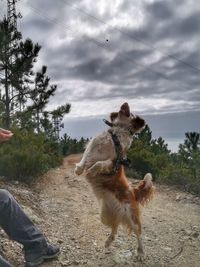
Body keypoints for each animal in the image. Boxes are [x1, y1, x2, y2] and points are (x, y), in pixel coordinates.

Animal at [74, 103, 154, 262]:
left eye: (131, 113)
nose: (125, 104)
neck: (116, 135)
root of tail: (133, 191)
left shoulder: (113, 161)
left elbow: (99, 164)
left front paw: (91, 170)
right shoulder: (92, 146)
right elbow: (85, 157)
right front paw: (79, 169)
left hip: (132, 217)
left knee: (139, 234)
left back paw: (141, 253)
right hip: (104, 215)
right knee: (115, 227)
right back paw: (108, 241)